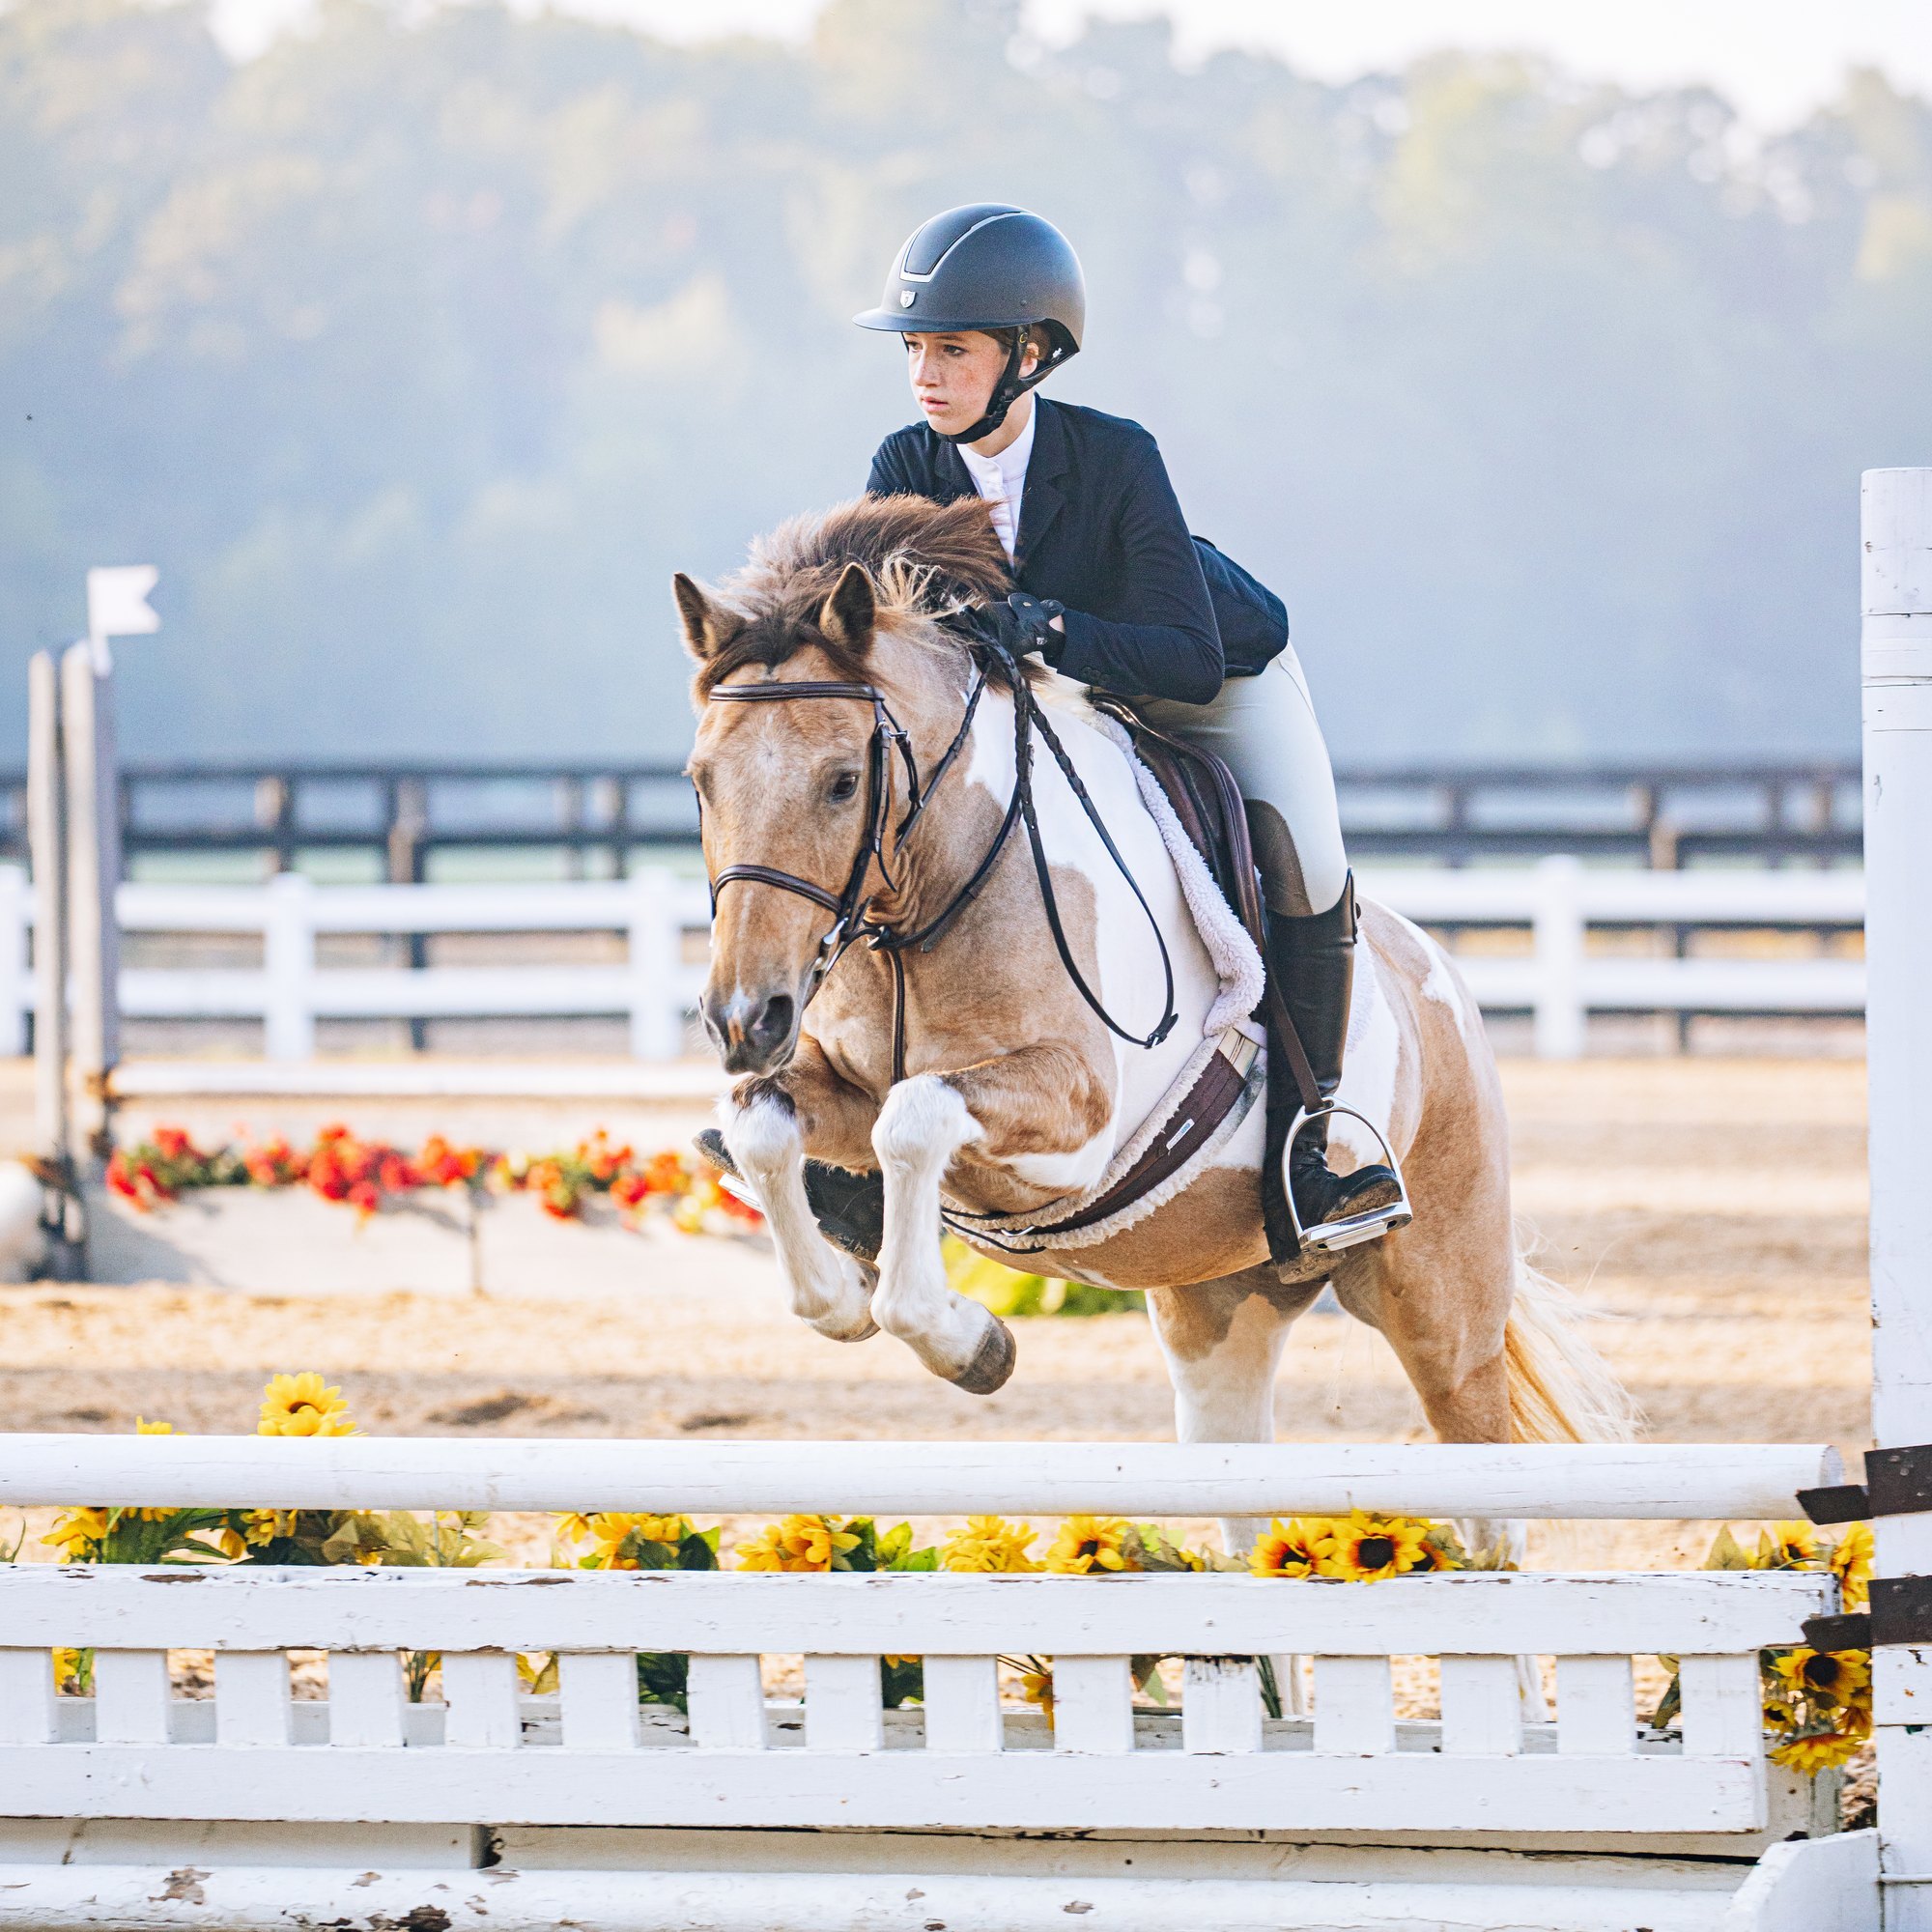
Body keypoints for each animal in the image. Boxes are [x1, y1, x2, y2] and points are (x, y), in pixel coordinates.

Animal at [678, 493, 1631, 1523]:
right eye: (701, 782)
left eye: (843, 781)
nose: (745, 1021)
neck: (934, 895)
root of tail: (1441, 974)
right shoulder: (839, 1089)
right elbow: (765, 1127)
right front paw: (865, 1302)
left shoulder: (1078, 1121)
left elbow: (915, 1116)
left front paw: (963, 1340)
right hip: (1221, 1303)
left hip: (1442, 1310)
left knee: (1487, 1486)